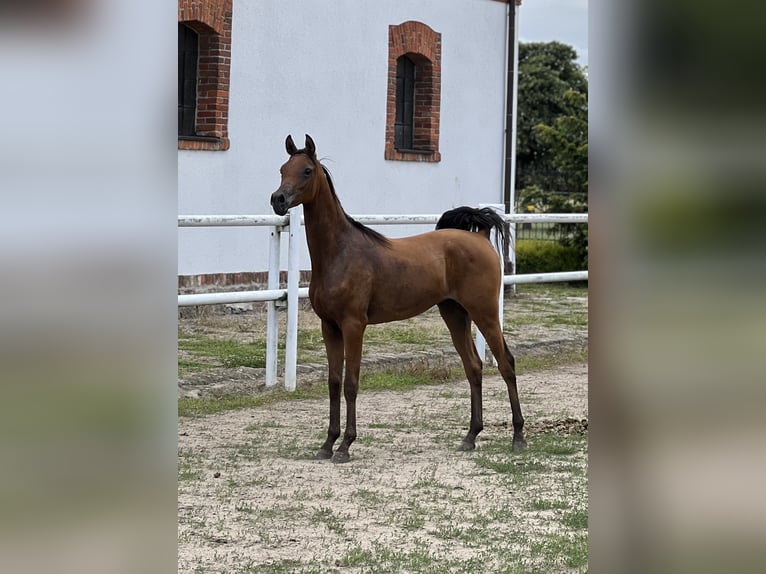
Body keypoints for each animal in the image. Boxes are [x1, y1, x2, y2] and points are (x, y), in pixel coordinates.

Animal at [272, 134, 528, 464]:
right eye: (282, 169)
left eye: (306, 171)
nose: (278, 200)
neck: (339, 252)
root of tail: (480, 236)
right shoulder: (329, 327)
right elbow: (333, 382)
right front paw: (327, 443)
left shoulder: (354, 326)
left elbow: (351, 384)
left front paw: (345, 446)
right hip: (454, 314)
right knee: (473, 366)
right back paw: (470, 437)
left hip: (484, 313)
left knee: (506, 363)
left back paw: (518, 436)